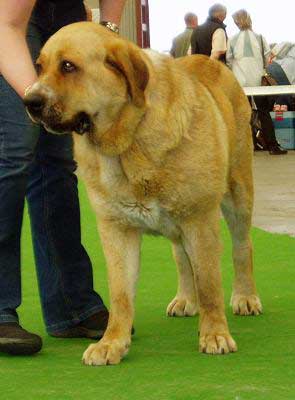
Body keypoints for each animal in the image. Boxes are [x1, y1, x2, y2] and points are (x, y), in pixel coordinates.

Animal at [24, 21, 262, 366]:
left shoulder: (200, 220)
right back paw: (185, 299)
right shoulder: (117, 231)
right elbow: (121, 294)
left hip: (238, 193)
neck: (129, 140)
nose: (29, 100)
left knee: (242, 247)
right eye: (39, 67)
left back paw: (245, 297)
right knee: (181, 257)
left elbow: (209, 284)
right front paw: (111, 343)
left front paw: (215, 334)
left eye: (68, 66)